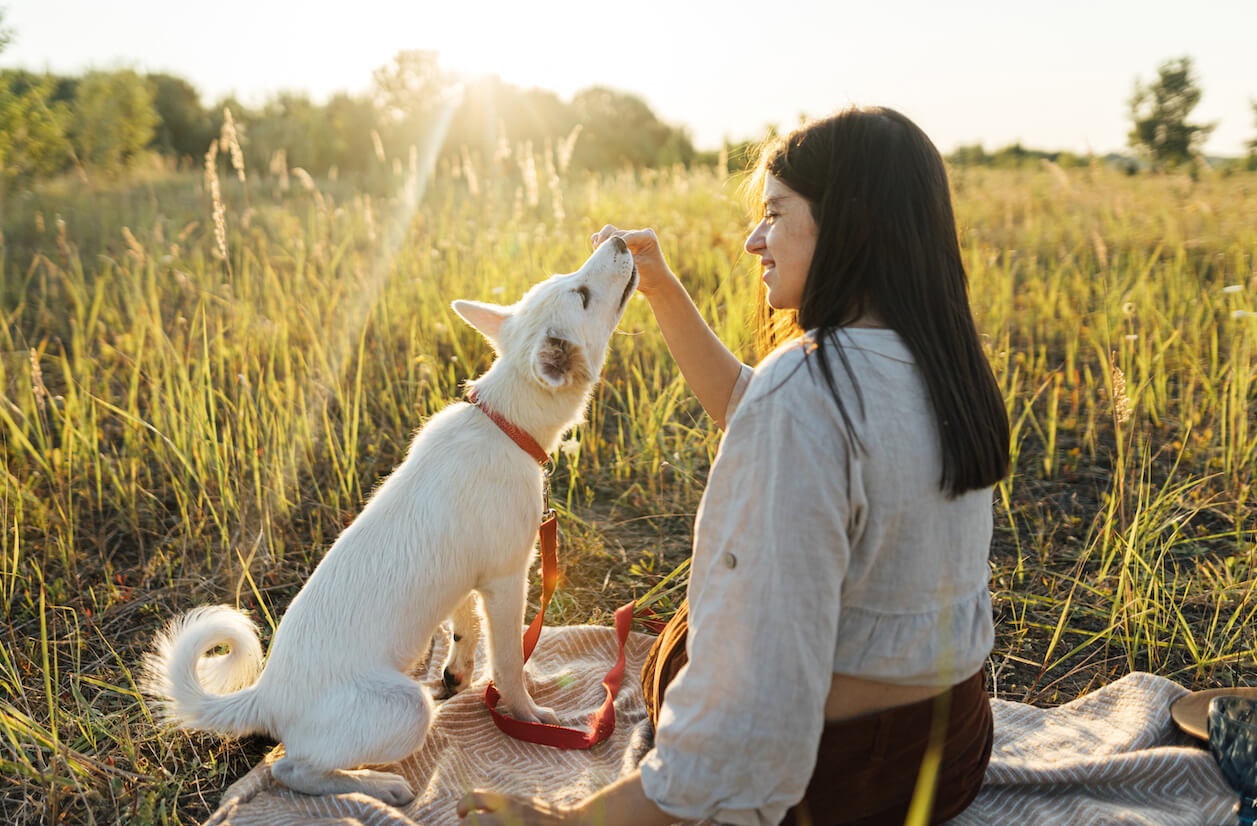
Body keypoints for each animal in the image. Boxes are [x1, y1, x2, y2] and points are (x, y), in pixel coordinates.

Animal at [144, 235, 638, 804]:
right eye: (582, 295)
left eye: (570, 282)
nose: (619, 238)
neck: (504, 421)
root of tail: (266, 694)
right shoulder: (506, 579)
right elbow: (511, 660)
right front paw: (527, 713)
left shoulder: (469, 580)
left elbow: (464, 628)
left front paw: (458, 674)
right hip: (404, 709)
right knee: (291, 771)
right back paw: (381, 787)